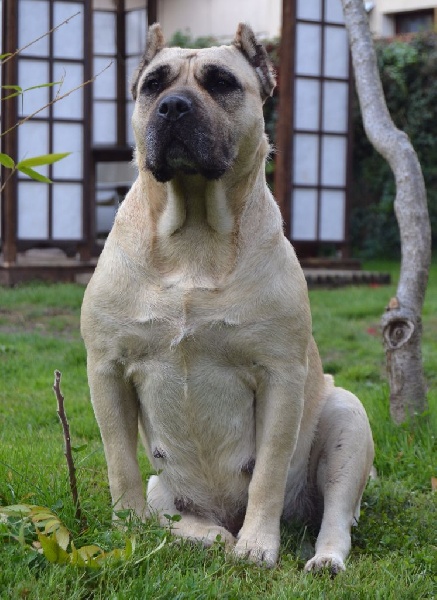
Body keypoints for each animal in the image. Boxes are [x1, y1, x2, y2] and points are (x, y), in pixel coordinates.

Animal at [81, 23, 374, 574]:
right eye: (153, 85)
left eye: (221, 83)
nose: (173, 107)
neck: (195, 232)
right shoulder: (107, 369)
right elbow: (119, 463)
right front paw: (127, 530)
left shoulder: (280, 375)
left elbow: (268, 474)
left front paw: (259, 544)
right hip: (165, 490)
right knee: (181, 515)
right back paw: (193, 533)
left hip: (347, 420)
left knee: (336, 515)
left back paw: (320, 557)